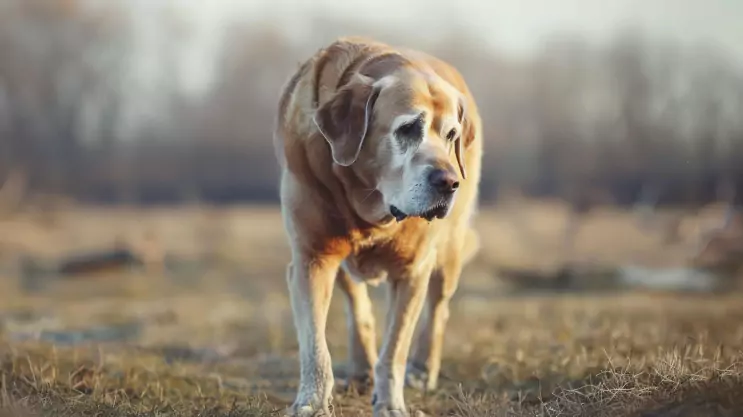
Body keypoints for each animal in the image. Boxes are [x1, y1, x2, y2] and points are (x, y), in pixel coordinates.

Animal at [274, 37, 482, 414]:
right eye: (408, 129)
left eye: (451, 135)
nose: (449, 182)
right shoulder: (312, 258)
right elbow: (315, 345)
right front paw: (312, 402)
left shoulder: (412, 271)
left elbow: (395, 351)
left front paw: (390, 404)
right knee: (358, 307)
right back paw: (360, 370)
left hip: (450, 252)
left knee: (439, 309)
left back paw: (422, 370)